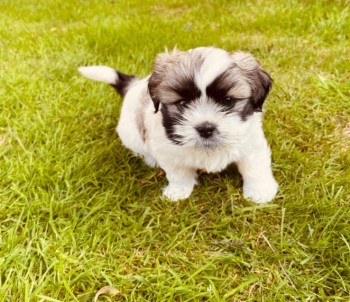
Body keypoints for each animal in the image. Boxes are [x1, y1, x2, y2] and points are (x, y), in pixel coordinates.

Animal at [79, 47, 278, 203]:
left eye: (227, 100)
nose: (206, 128)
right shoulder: (167, 151)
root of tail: (133, 86)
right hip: (130, 134)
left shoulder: (251, 142)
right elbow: (178, 172)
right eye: (182, 103)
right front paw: (179, 191)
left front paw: (260, 192)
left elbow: (255, 167)